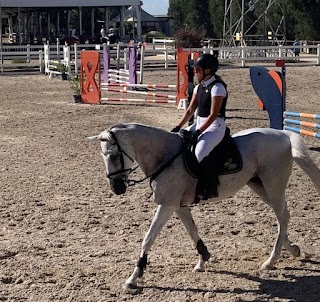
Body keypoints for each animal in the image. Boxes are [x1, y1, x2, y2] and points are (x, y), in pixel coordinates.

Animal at [87, 122, 320, 290]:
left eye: (113, 155)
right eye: (102, 156)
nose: (117, 188)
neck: (164, 155)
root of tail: (283, 134)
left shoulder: (167, 205)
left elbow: (148, 238)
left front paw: (133, 277)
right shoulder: (179, 206)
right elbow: (193, 231)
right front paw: (203, 259)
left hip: (273, 185)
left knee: (282, 216)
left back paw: (271, 261)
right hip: (259, 186)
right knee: (282, 216)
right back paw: (292, 249)